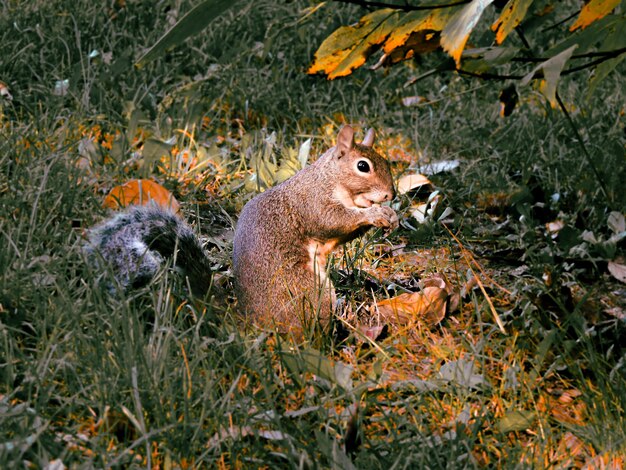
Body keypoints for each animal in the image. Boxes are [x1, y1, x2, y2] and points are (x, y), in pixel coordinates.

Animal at [232, 125, 398, 336]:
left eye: (386, 161)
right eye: (362, 166)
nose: (391, 194)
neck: (328, 179)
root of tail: (255, 322)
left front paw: (391, 215)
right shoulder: (314, 203)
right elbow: (332, 221)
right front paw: (375, 213)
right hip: (305, 289)